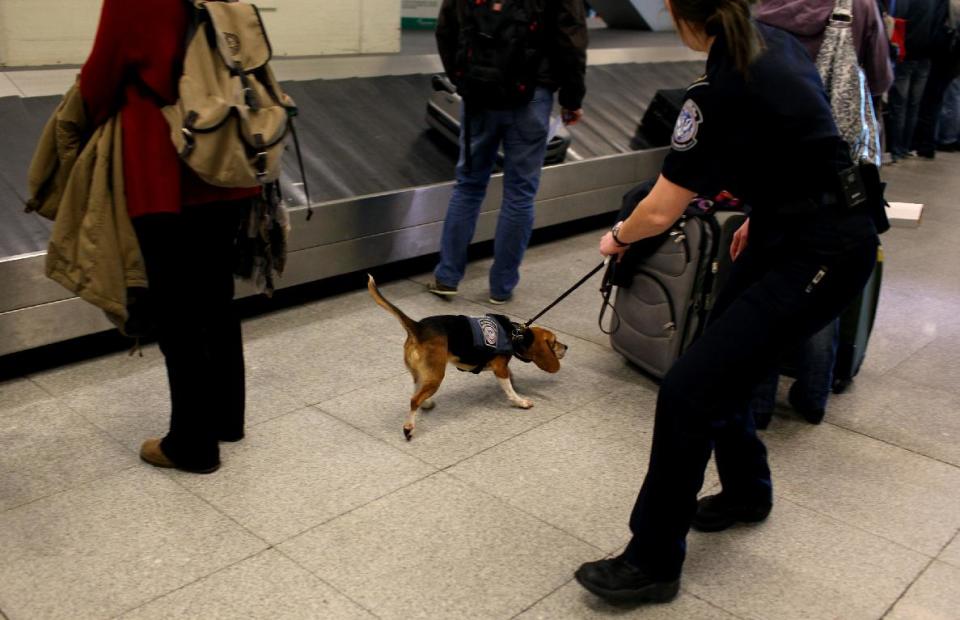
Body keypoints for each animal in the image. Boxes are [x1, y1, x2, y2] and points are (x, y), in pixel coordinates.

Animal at [366, 276, 564, 440]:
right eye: (554, 342)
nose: (567, 347)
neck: (515, 334)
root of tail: (418, 327)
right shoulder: (500, 369)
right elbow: (509, 389)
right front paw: (520, 401)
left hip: (423, 373)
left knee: (417, 393)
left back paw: (426, 404)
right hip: (436, 375)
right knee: (414, 400)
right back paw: (409, 427)